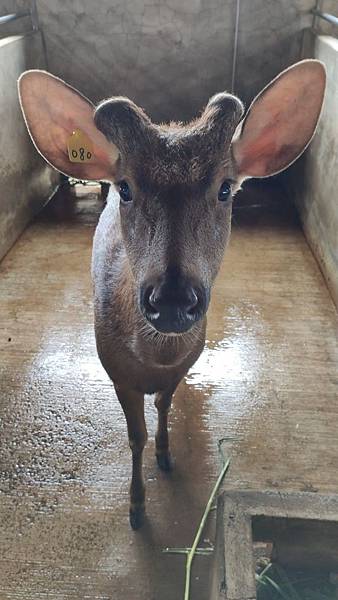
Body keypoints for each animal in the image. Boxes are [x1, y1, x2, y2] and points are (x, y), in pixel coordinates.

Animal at [17, 61, 324, 528]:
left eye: (225, 188)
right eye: (125, 188)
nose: (174, 299)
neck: (155, 359)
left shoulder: (186, 364)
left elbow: (163, 406)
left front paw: (165, 455)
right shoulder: (116, 373)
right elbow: (135, 437)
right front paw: (136, 507)